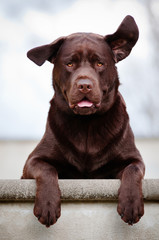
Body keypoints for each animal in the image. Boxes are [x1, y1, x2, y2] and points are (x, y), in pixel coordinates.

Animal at [21, 15, 145, 227]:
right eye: (70, 64)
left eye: (99, 64)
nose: (84, 85)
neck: (87, 124)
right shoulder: (33, 161)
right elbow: (47, 169)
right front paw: (47, 205)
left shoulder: (134, 158)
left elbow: (133, 168)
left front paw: (131, 204)